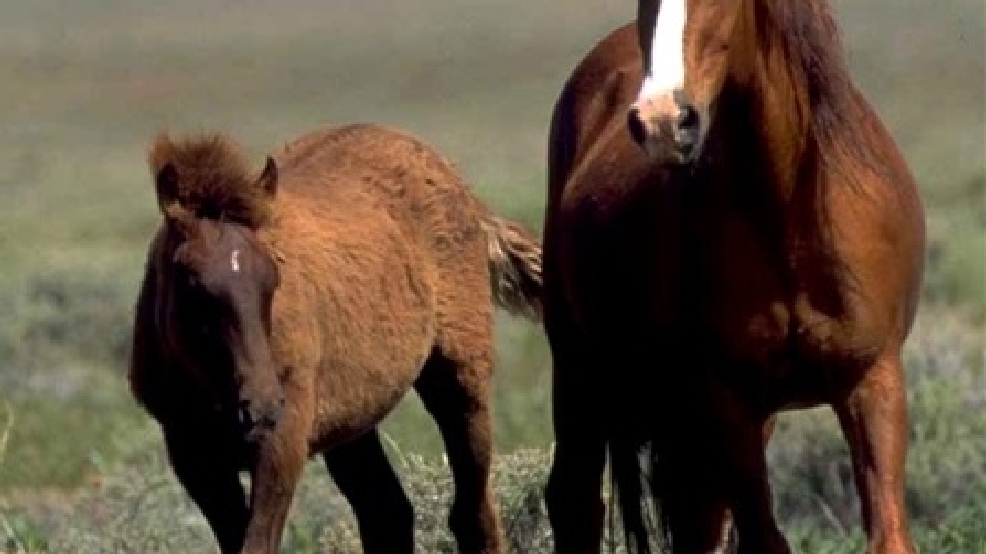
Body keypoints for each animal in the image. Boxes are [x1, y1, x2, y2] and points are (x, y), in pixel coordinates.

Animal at [127, 122, 540, 552]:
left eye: (272, 279)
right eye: (191, 284)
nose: (261, 408)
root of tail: (458, 183)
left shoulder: (282, 445)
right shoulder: (195, 457)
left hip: (460, 379)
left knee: (473, 514)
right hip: (352, 422)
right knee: (389, 513)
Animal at [540, 1, 928, 552]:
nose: (663, 122)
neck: (788, 214)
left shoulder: (872, 381)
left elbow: (888, 532)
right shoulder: (729, 401)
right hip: (581, 369)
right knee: (576, 501)